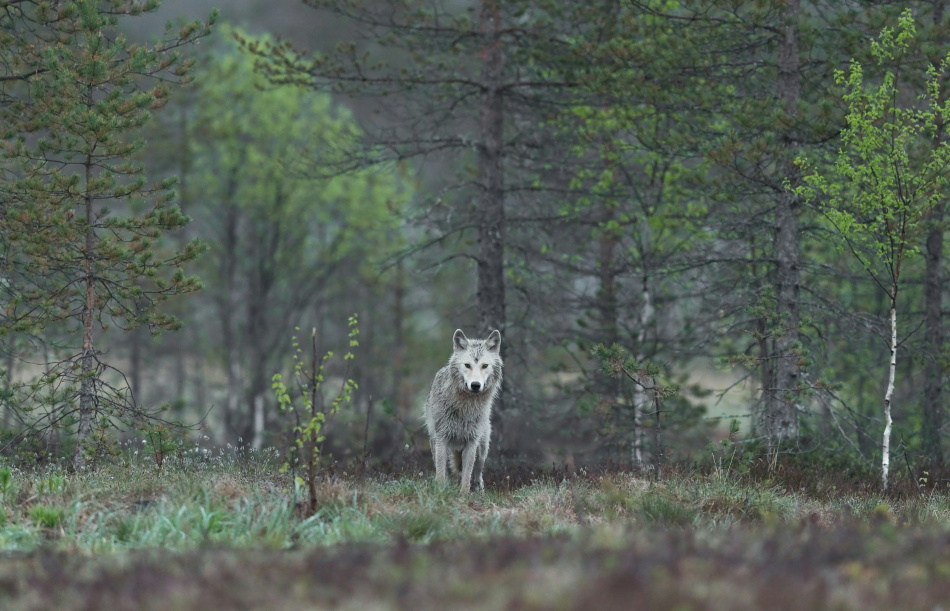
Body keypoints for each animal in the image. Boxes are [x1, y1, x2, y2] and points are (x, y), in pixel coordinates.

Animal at [420, 328, 502, 494]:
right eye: (467, 365)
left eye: (485, 366)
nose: (475, 385)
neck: (465, 407)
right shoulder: (442, 439)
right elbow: (441, 474)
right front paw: (440, 493)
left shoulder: (472, 442)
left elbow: (466, 476)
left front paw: (463, 496)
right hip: (435, 443)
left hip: (482, 449)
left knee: (477, 474)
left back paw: (479, 492)